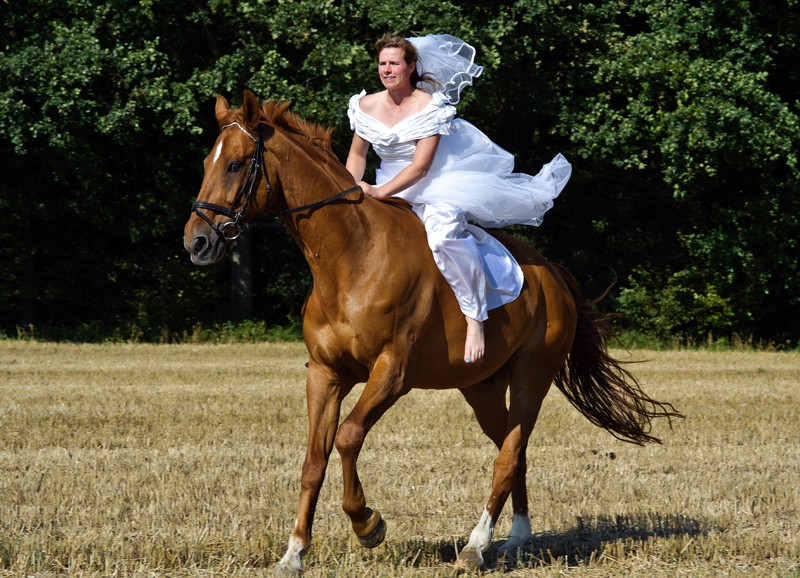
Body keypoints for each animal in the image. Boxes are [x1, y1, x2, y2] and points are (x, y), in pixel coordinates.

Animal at [183, 90, 680, 572]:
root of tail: (552, 274)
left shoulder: (392, 372)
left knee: (508, 454)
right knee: (512, 451)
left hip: (531, 377)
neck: (350, 258)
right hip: (480, 387)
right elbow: (313, 460)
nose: (197, 243)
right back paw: (517, 538)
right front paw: (294, 554)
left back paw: (475, 548)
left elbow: (348, 437)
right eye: (206, 163)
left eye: (235, 164)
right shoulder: (324, 374)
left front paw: (368, 525)